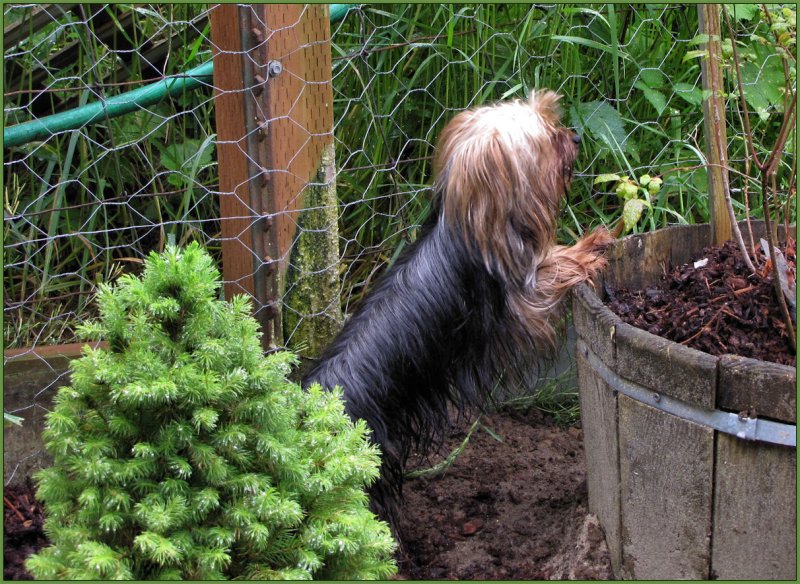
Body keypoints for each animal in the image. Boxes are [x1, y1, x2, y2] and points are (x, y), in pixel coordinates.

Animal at [304, 90, 608, 528]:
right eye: (548, 139)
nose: (575, 138)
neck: (472, 225)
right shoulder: (521, 299)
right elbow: (552, 267)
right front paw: (590, 247)